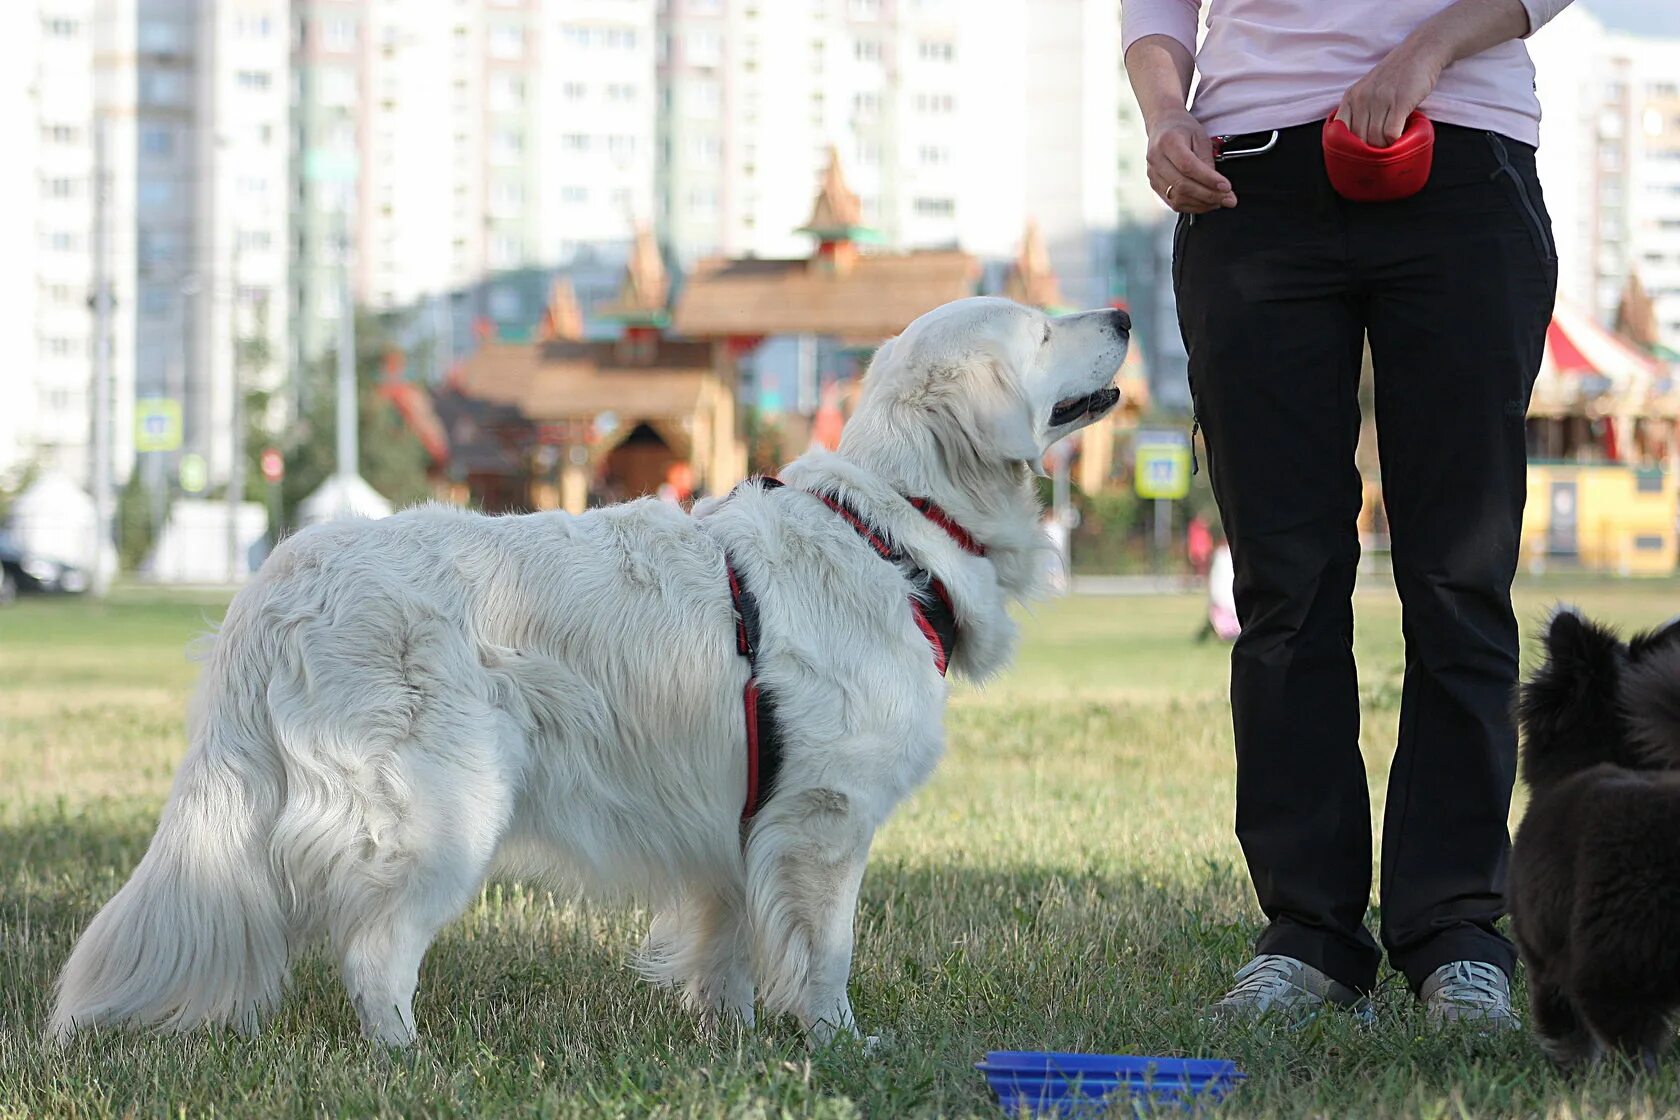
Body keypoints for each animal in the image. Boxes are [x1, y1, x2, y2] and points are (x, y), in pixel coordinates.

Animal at [49, 295, 1128, 1041]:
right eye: (1040, 331)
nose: (1122, 312)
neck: (894, 527)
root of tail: (280, 579)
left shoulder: (738, 818)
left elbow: (729, 944)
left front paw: (731, 1038)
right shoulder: (823, 818)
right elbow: (826, 953)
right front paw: (841, 1044)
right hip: (444, 809)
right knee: (374, 954)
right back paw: (409, 1059)